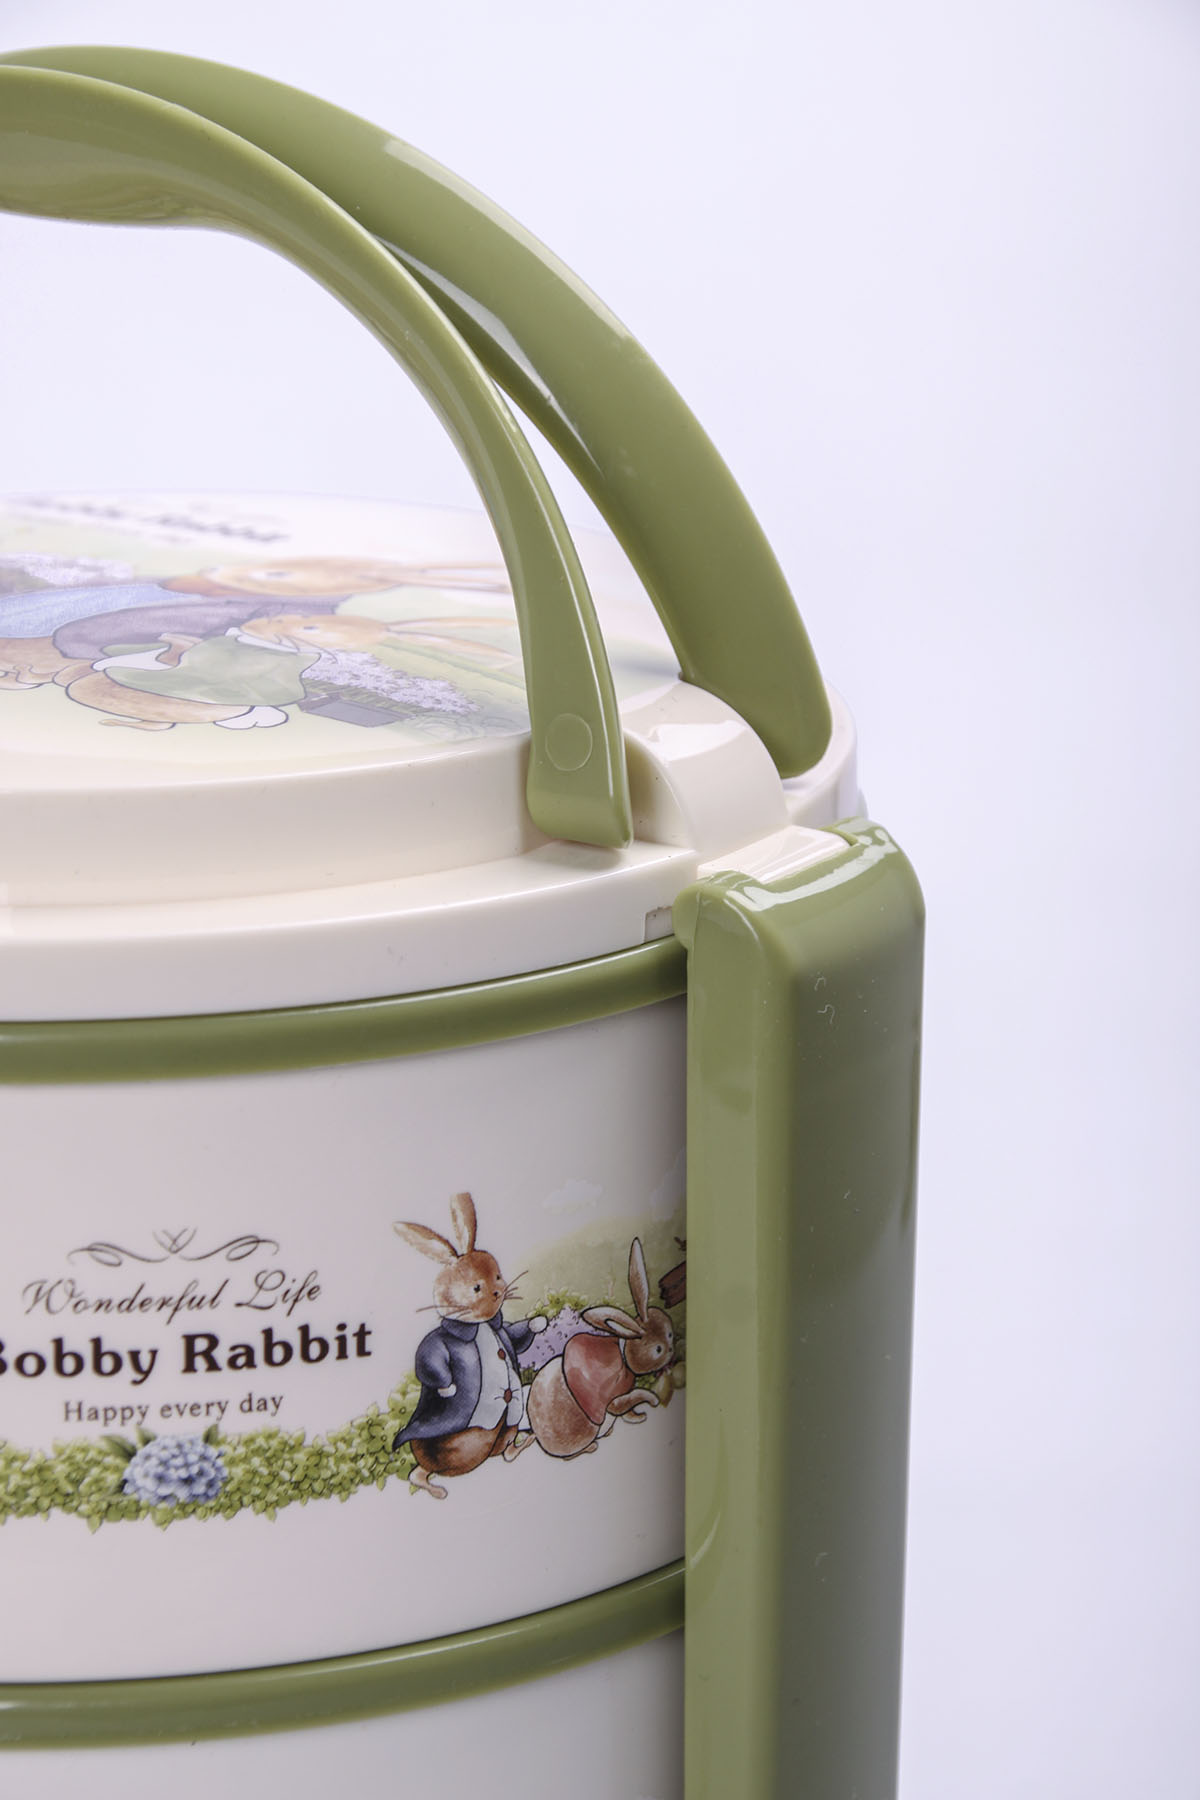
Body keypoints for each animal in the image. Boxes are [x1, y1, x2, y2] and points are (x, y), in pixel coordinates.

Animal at [391, 1192, 546, 1499]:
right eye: (476, 1288)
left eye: (497, 1275)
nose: (498, 1291)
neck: (479, 1326)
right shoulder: (438, 1343)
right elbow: (429, 1357)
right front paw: (447, 1387)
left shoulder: (501, 1329)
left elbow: (514, 1335)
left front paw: (538, 1323)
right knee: (420, 1471)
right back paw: (431, 1486)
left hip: (507, 1425)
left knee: (506, 1446)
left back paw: (521, 1445)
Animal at [520, 1239, 675, 1461]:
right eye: (658, 1349)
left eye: (669, 1334)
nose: (671, 1350)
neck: (623, 1354)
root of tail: (538, 1435)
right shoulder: (612, 1399)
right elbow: (630, 1399)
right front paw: (651, 1400)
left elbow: (628, 1409)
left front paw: (637, 1418)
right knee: (569, 1456)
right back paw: (591, 1447)